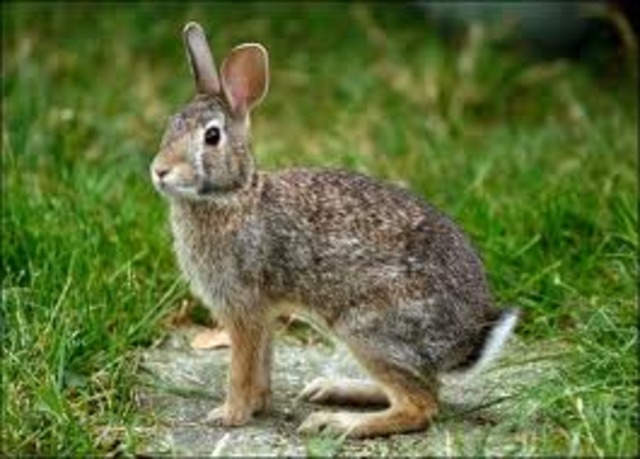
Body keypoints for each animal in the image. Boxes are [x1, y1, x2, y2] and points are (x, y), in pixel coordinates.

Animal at [150, 21, 519, 438]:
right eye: (171, 124)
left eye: (212, 137)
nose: (159, 171)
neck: (233, 196)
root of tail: (467, 337)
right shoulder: (264, 312)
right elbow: (262, 363)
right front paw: (258, 406)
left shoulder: (243, 307)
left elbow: (241, 368)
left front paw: (229, 415)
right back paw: (331, 390)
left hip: (368, 328)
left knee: (421, 406)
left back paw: (336, 422)